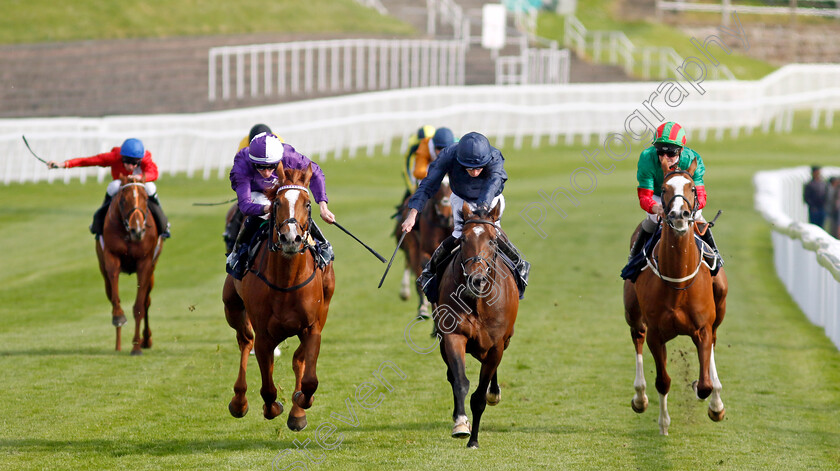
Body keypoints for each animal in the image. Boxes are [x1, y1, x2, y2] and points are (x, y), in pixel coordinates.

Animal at [95, 175, 164, 356]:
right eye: (123, 200)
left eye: (145, 198)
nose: (137, 230)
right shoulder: (111, 258)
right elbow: (115, 297)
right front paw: (118, 317)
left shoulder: (145, 264)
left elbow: (139, 306)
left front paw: (136, 346)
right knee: (111, 294)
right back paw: (118, 344)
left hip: (152, 272)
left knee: (147, 301)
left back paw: (146, 339)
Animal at [223, 165, 334, 432]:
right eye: (277, 204)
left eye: (307, 204)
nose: (290, 238)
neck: (287, 281)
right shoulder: (265, 334)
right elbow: (268, 388)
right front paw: (272, 408)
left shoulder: (312, 327)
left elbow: (310, 381)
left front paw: (300, 405)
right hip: (231, 307)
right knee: (245, 342)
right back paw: (239, 401)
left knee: (298, 360)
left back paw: (297, 411)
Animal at [434, 204, 520, 450]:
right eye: (463, 239)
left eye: (492, 240)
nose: (476, 279)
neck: (478, 302)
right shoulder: (453, 335)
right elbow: (460, 382)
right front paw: (461, 425)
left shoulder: (496, 345)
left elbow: (480, 396)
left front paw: (474, 440)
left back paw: (494, 392)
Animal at [624, 169, 728, 436]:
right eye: (663, 188)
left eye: (691, 187)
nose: (679, 215)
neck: (679, 283)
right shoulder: (656, 334)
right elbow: (663, 381)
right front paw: (663, 423)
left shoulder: (702, 329)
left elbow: (704, 384)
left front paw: (707, 395)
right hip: (633, 313)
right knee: (637, 338)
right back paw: (640, 397)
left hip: (719, 306)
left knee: (715, 341)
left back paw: (717, 401)